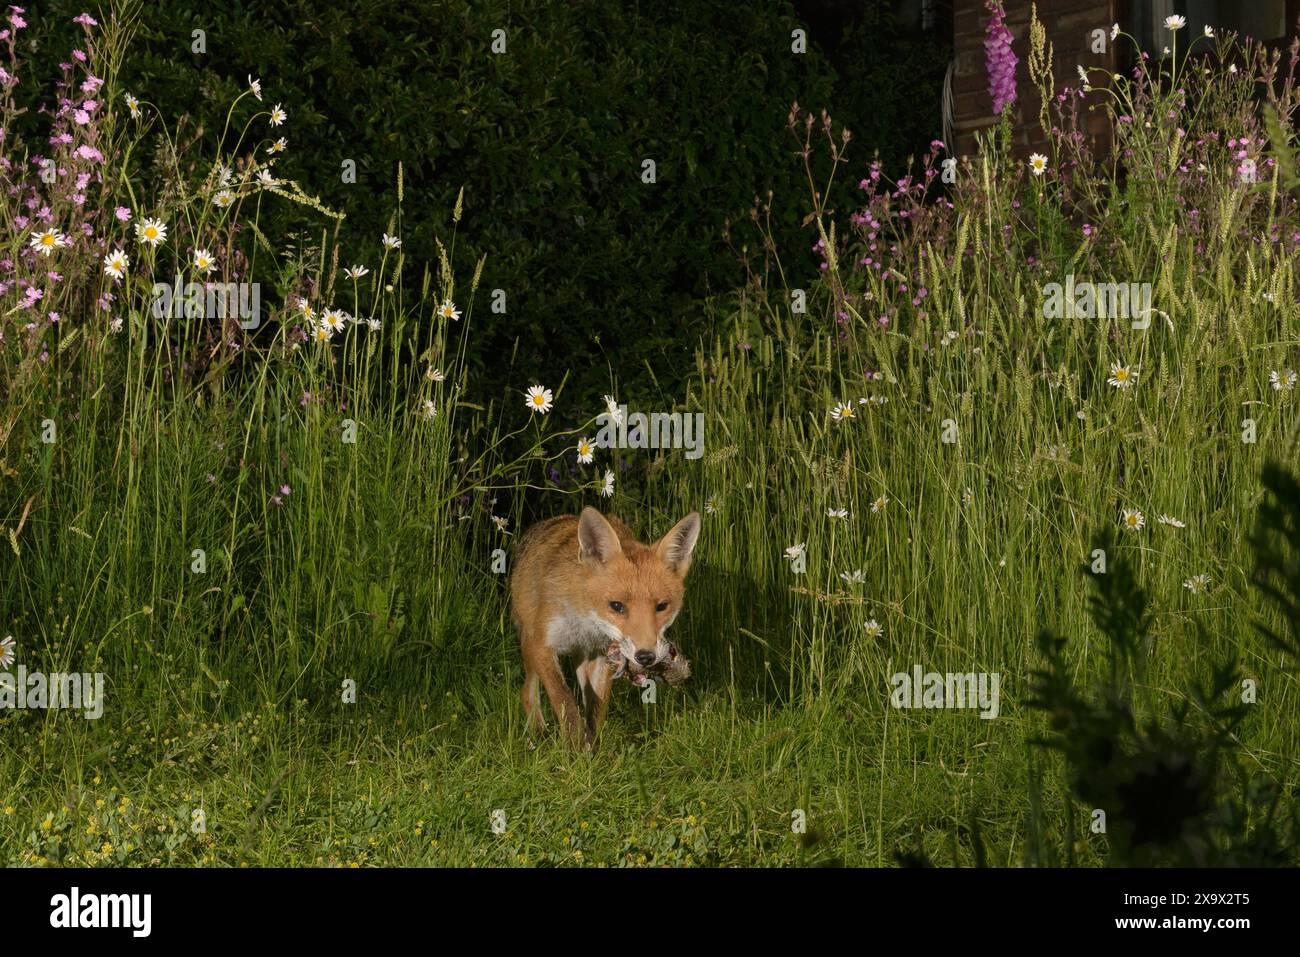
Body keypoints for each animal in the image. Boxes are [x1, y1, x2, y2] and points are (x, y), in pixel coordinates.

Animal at [512, 509, 707, 748]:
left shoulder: (602, 653)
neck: (585, 623)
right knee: (527, 692)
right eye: (616, 606)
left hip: (582, 659)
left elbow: (597, 709)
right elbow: (564, 699)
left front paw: (592, 751)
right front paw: (574, 749)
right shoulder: (543, 645)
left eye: (662, 606)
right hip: (529, 645)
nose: (646, 657)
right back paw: (538, 732)